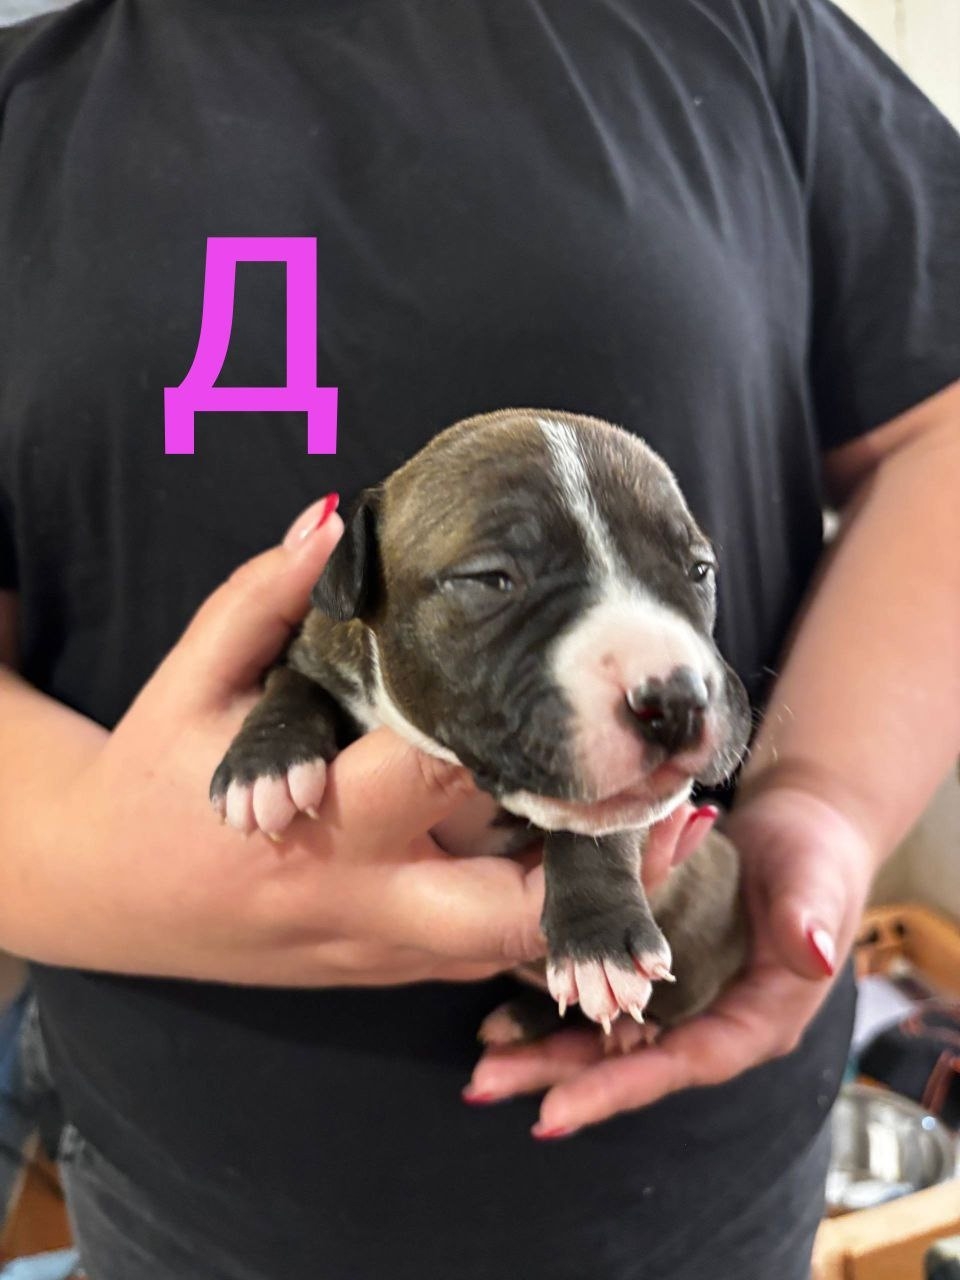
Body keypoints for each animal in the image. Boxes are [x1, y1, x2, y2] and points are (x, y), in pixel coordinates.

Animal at [210, 408, 751, 1045]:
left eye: (699, 570)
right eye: (490, 578)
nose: (677, 696)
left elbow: (596, 826)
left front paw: (597, 943)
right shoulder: (315, 646)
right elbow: (292, 683)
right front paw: (263, 767)